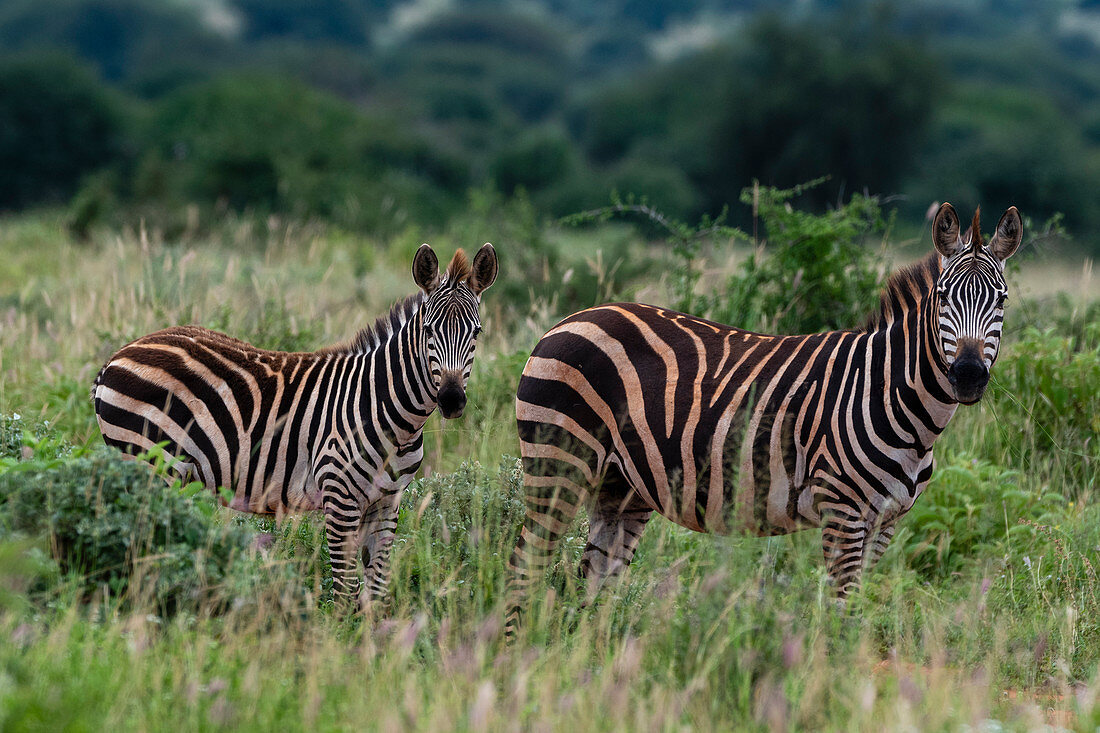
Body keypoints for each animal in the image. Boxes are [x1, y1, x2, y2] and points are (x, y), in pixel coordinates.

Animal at [94, 241, 499, 603]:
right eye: (429, 330)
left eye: (477, 333)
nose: (451, 400)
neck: (393, 415)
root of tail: (118, 355)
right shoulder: (340, 495)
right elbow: (345, 593)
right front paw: (339, 639)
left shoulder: (387, 503)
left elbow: (377, 593)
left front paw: (375, 640)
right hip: (149, 462)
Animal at [506, 201, 1020, 633]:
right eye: (943, 297)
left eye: (1002, 301)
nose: (968, 375)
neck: (895, 400)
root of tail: (566, 319)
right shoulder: (842, 510)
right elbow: (841, 611)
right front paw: (832, 681)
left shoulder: (886, 520)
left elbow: (856, 608)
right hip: (559, 461)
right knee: (524, 565)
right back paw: (520, 657)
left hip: (621, 485)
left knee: (591, 581)